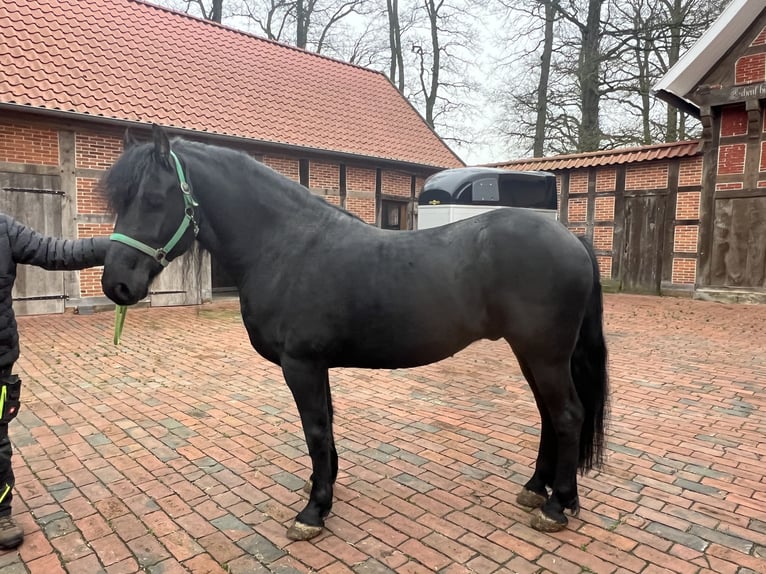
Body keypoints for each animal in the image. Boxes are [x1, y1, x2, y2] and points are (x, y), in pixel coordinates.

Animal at [100, 127, 612, 544]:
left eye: (153, 199)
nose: (116, 284)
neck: (287, 246)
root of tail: (571, 237)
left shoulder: (301, 364)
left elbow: (315, 429)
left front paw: (312, 512)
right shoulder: (316, 365)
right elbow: (326, 425)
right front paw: (323, 492)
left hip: (544, 354)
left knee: (567, 415)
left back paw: (555, 506)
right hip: (532, 354)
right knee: (549, 415)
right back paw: (536, 489)